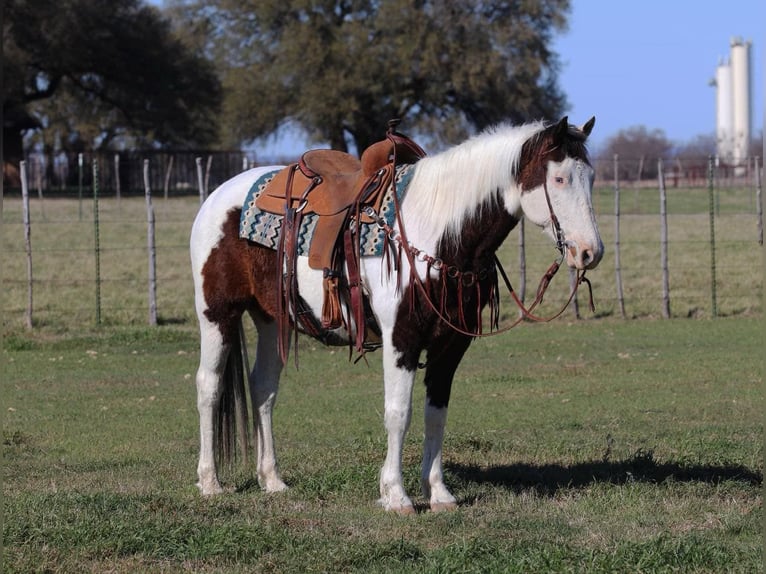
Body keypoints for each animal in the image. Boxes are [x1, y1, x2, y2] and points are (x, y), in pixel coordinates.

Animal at [189, 116, 603, 514]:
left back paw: (272, 479)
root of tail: (217, 197)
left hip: (272, 318)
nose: (590, 252)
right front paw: (396, 495)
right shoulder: (401, 338)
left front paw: (438, 493)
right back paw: (210, 483)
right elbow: (398, 413)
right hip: (217, 314)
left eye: (591, 178)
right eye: (559, 178)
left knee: (263, 388)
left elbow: (436, 414)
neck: (438, 231)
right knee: (209, 386)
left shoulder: (451, 344)